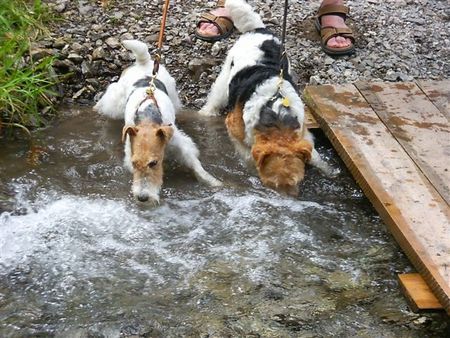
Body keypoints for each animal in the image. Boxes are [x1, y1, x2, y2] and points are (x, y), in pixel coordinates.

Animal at [95, 39, 221, 203]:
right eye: (134, 163)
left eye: (153, 163)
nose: (142, 198)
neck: (148, 119)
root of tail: (143, 62)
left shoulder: (180, 143)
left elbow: (197, 166)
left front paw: (214, 182)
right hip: (116, 101)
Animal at [200, 0, 330, 195]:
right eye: (271, 184)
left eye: (297, 181)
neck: (277, 119)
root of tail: (258, 29)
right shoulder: (233, 128)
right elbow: (247, 153)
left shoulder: (303, 132)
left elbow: (314, 153)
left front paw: (329, 170)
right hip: (225, 76)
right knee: (216, 96)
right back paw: (207, 112)